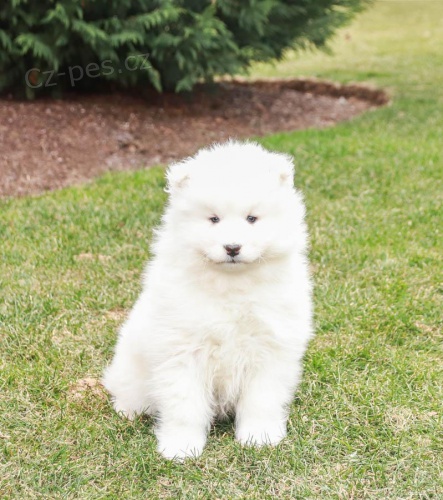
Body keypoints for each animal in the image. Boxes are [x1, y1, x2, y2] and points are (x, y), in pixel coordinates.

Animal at [102, 140, 314, 458]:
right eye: (213, 219)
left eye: (252, 218)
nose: (232, 247)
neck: (231, 285)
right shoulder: (182, 351)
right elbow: (184, 406)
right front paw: (181, 446)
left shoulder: (269, 348)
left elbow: (261, 400)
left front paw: (259, 436)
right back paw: (128, 410)